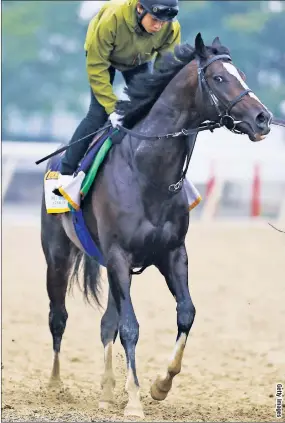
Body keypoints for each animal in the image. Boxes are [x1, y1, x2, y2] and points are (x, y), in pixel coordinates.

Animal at [41, 34, 272, 420]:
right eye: (220, 78)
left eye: (239, 73)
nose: (263, 117)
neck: (148, 174)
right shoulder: (119, 255)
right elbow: (131, 327)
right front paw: (134, 400)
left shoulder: (172, 253)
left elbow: (186, 313)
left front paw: (160, 385)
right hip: (58, 256)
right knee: (59, 316)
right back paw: (56, 385)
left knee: (106, 323)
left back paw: (107, 391)